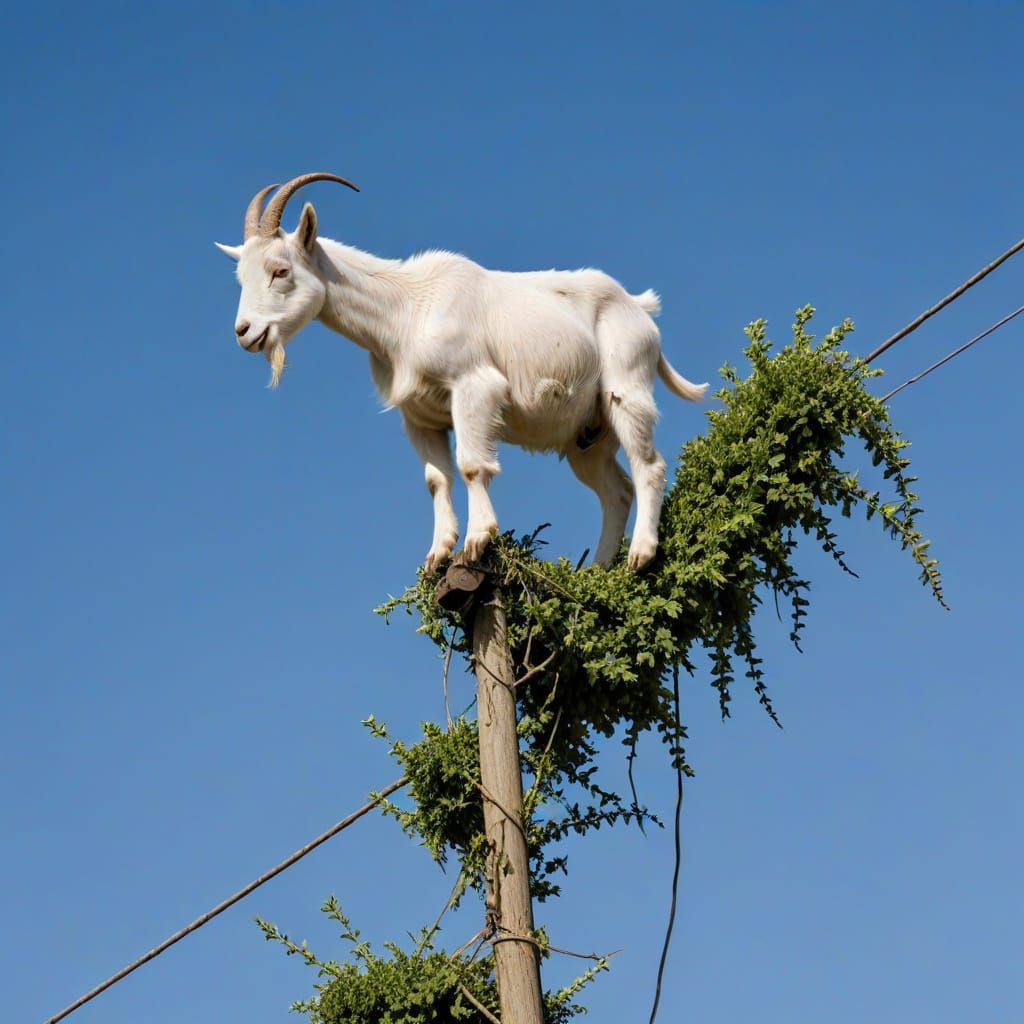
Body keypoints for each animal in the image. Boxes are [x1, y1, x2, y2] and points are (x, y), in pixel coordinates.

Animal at [216, 173, 707, 572]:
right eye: (241, 278)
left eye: (280, 270)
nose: (245, 332)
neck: (407, 311)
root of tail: (640, 308)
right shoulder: (419, 416)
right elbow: (437, 480)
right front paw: (437, 554)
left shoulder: (473, 387)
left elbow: (472, 465)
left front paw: (477, 540)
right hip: (587, 436)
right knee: (615, 490)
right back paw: (599, 570)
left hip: (626, 385)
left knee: (649, 466)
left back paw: (640, 555)